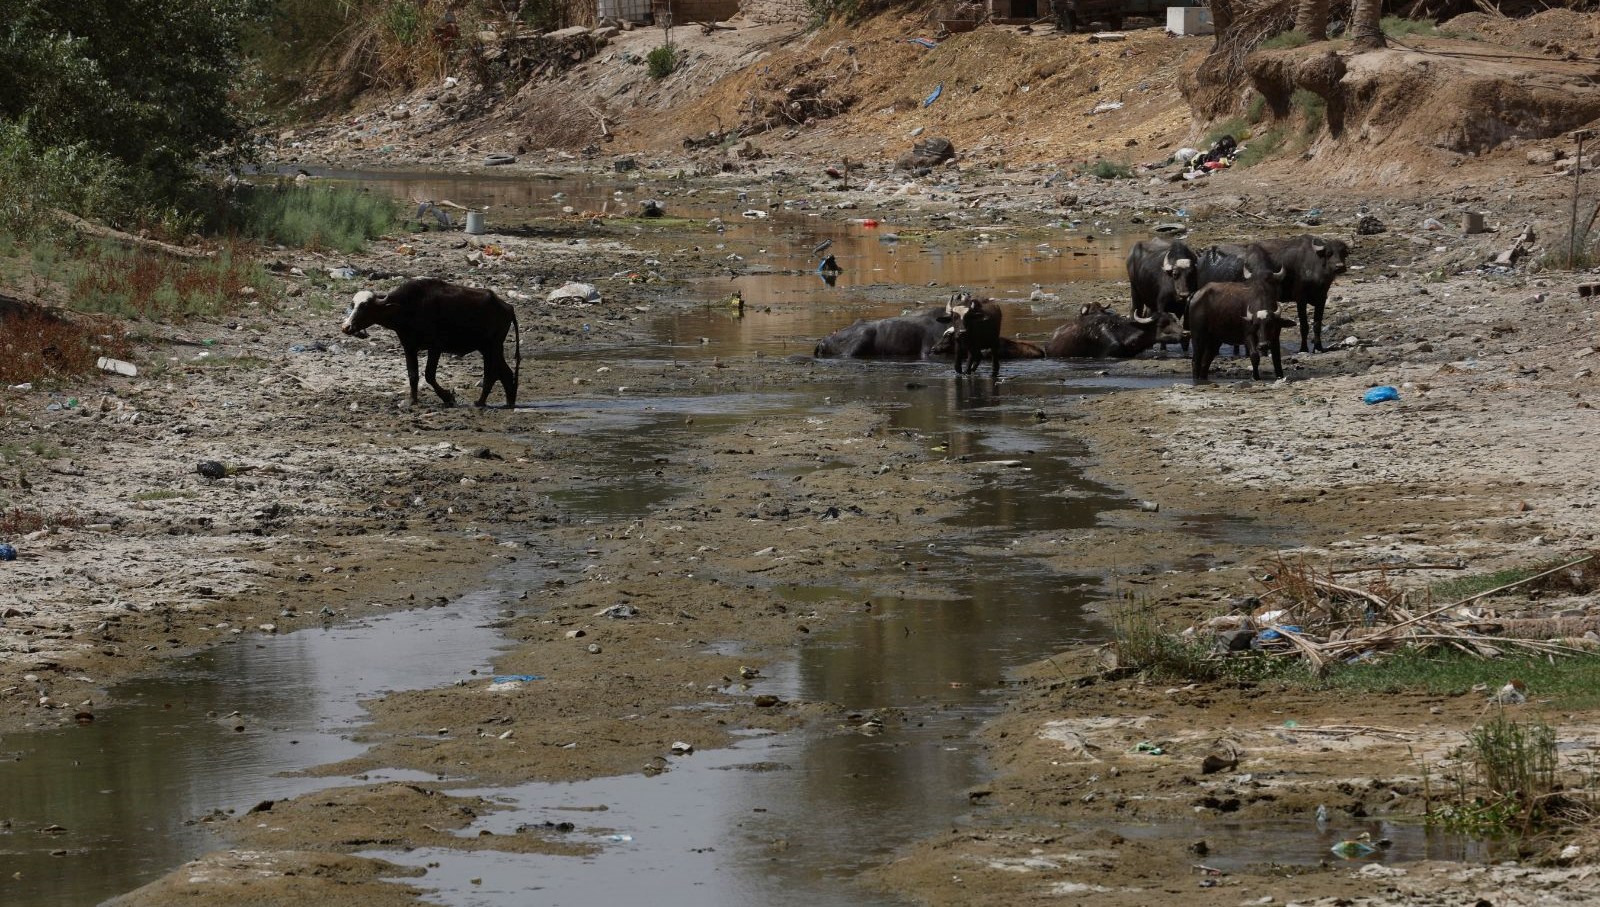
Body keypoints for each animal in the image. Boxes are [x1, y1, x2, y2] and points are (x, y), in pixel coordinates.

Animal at [340, 275, 521, 406]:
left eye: (364, 306)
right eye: (353, 304)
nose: (346, 326)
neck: (409, 307)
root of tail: (507, 307)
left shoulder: (435, 347)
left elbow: (428, 375)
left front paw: (448, 397)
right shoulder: (409, 347)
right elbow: (413, 375)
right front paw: (412, 401)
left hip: (493, 347)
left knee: (493, 373)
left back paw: (482, 402)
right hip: (488, 348)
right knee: (504, 373)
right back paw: (507, 402)